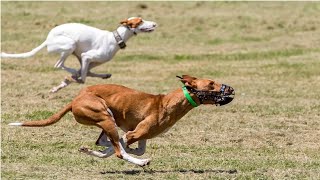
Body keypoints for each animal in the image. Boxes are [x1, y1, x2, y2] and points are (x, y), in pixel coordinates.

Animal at [1, 16, 156, 92]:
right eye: (140, 21)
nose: (155, 24)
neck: (115, 38)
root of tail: (48, 39)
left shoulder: (88, 61)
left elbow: (86, 74)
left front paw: (61, 85)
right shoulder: (86, 56)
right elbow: (83, 79)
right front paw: (68, 80)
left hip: (74, 52)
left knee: (73, 68)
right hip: (70, 45)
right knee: (58, 65)